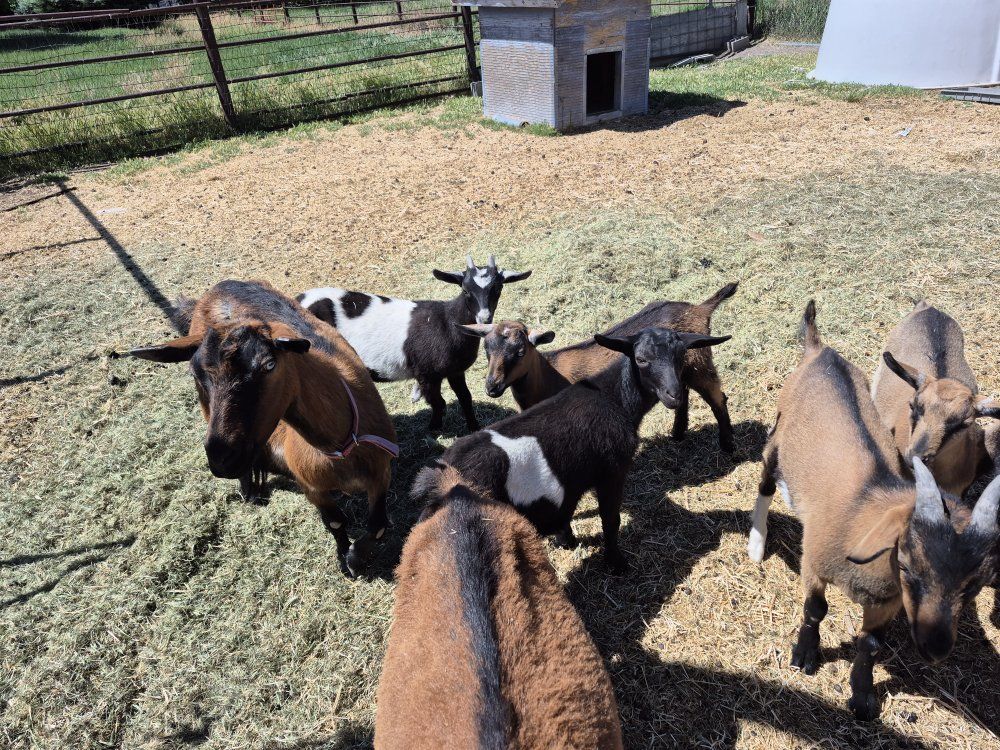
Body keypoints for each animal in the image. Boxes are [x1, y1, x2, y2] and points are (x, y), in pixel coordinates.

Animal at [130, 280, 398, 577]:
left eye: (269, 364)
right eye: (195, 374)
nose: (223, 460)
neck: (341, 447)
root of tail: (220, 286)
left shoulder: (381, 472)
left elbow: (378, 526)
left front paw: (356, 559)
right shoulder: (311, 487)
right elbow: (335, 523)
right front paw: (345, 558)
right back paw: (249, 489)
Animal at [297, 255, 531, 432]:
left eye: (498, 288)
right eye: (465, 290)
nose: (484, 318)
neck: (446, 322)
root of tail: (300, 298)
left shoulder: (454, 371)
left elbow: (465, 398)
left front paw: (474, 427)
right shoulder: (426, 374)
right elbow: (439, 403)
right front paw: (434, 429)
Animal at [412, 327, 730, 571]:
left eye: (681, 357)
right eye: (641, 360)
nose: (673, 395)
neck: (614, 399)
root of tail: (438, 482)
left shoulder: (572, 484)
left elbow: (567, 514)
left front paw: (567, 541)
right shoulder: (612, 472)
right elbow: (610, 520)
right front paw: (617, 564)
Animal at [460, 282, 738, 451]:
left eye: (520, 352)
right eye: (486, 350)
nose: (492, 387)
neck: (549, 373)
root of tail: (700, 309)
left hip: (701, 364)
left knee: (717, 397)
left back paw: (727, 446)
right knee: (683, 393)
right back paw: (677, 433)